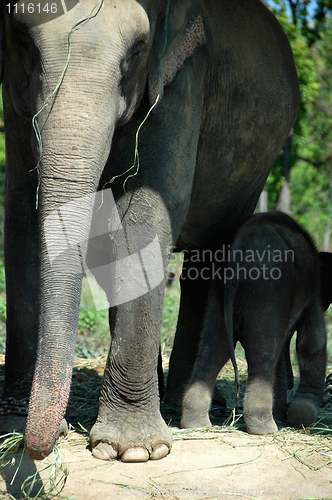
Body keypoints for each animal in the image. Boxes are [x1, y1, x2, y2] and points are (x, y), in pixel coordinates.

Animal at [0, 0, 300, 462]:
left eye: (137, 51)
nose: (42, 448)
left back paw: (187, 409)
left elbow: (149, 209)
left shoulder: (183, 77)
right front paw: (12, 428)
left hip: (253, 174)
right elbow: (20, 211)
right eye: (21, 40)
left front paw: (133, 451)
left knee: (211, 257)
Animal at [182, 211, 330, 434]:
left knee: (213, 350)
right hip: (266, 289)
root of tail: (238, 248)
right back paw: (265, 428)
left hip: (219, 294)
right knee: (263, 355)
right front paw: (302, 415)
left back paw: (195, 424)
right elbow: (312, 342)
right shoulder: (312, 290)